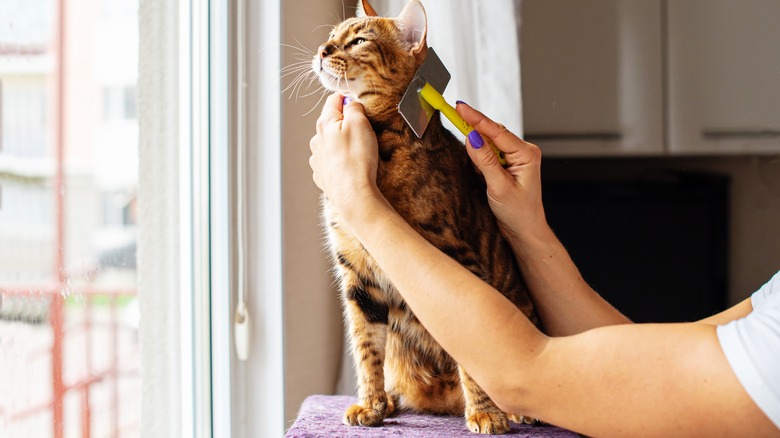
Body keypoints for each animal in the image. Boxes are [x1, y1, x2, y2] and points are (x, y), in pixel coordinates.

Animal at [310, 0, 544, 432]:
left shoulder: (458, 258)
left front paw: (485, 412)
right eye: (332, 36)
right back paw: (392, 398)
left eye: (358, 40)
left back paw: (510, 408)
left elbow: (472, 351)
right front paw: (369, 403)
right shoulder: (357, 274)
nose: (322, 50)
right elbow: (366, 346)